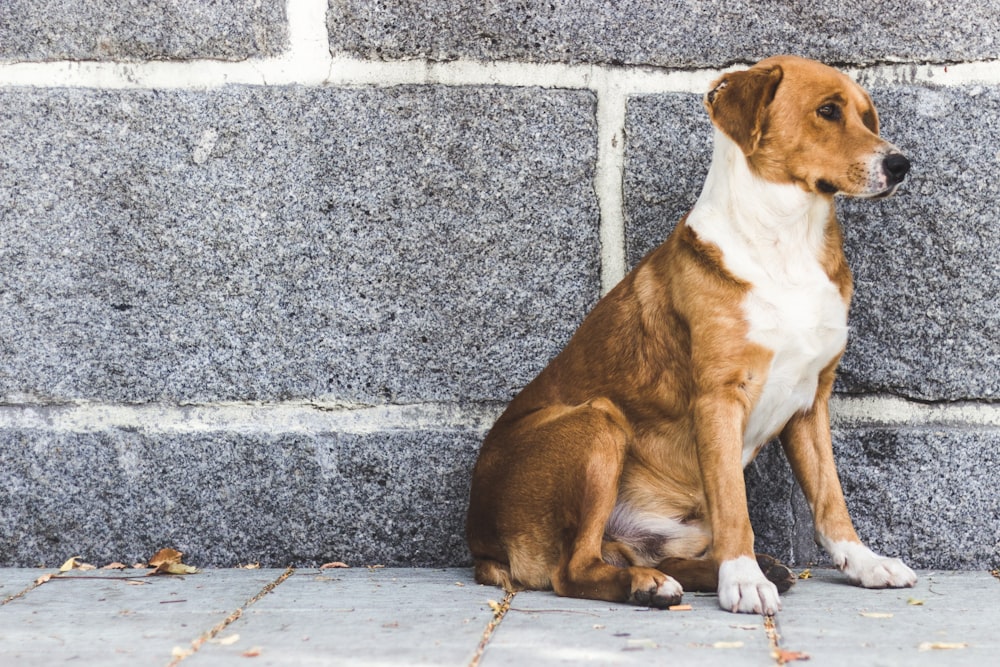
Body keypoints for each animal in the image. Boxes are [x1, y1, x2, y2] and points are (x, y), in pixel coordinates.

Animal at [464, 56, 916, 616]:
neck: (787, 240)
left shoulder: (812, 401)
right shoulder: (718, 398)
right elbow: (736, 507)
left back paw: (742, 570)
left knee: (655, 553)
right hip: (598, 422)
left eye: (867, 117)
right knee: (574, 569)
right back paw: (651, 584)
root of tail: (481, 543)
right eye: (828, 112)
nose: (901, 164)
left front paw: (866, 563)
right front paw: (743, 581)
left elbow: (830, 498)